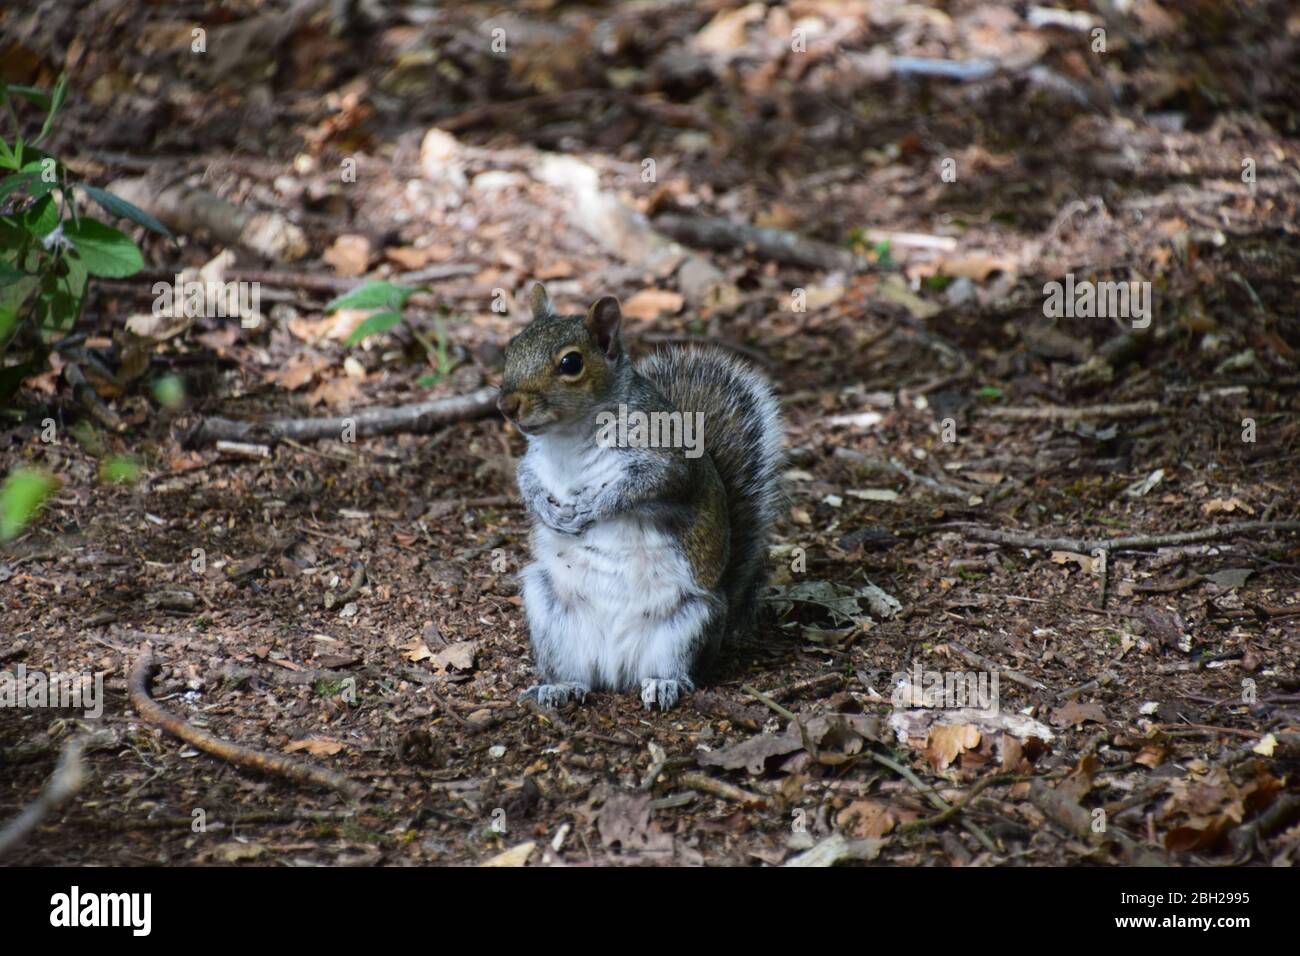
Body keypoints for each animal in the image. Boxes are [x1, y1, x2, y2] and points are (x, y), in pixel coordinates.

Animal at [493, 283, 780, 712]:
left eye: (571, 363)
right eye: (510, 349)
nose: (507, 406)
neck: (570, 436)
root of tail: (616, 668)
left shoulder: (668, 459)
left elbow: (641, 487)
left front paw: (591, 508)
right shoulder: (535, 461)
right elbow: (525, 480)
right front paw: (547, 512)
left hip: (689, 621)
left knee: (678, 669)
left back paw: (664, 684)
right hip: (549, 610)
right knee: (577, 675)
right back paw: (559, 687)